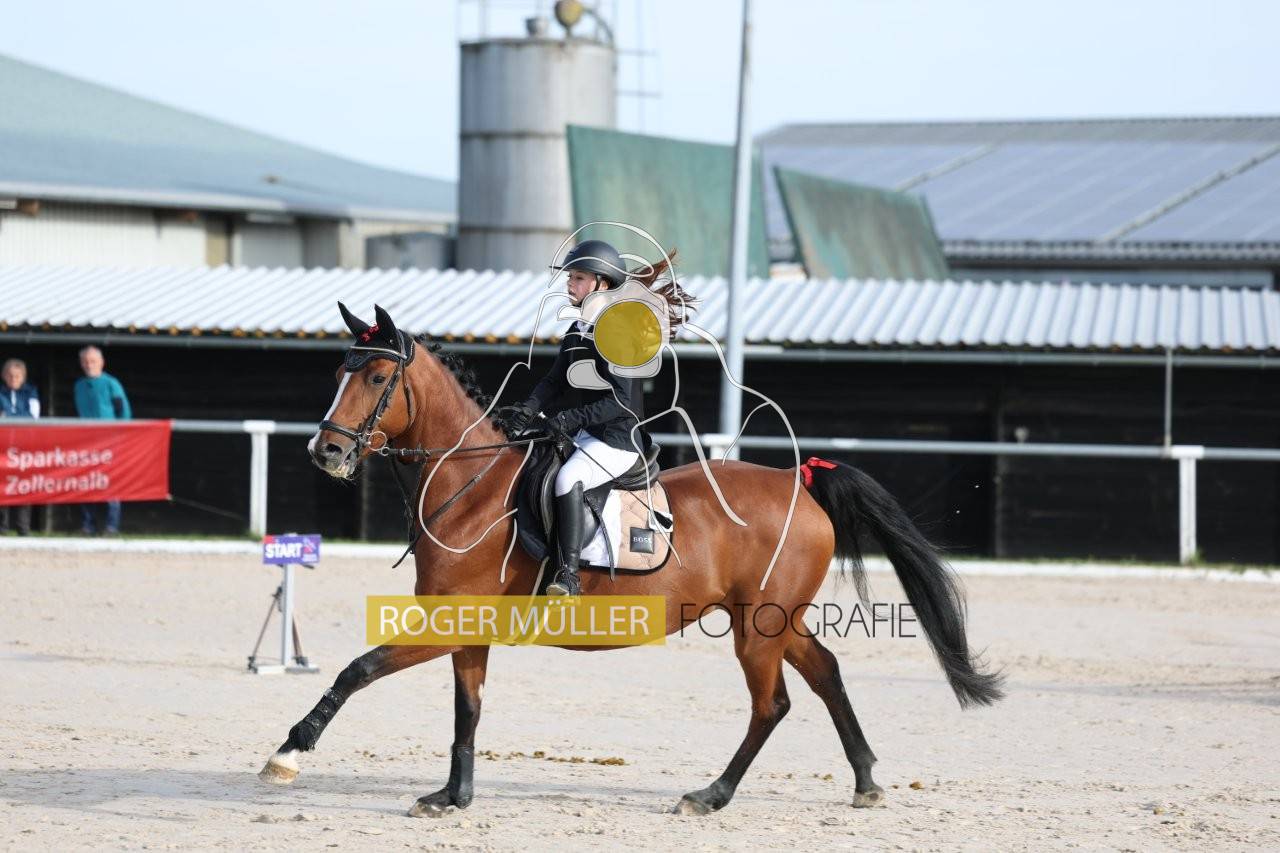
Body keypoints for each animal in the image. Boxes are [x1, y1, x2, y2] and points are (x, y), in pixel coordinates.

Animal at [259, 303, 1004, 817]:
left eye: (378, 375)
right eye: (339, 372)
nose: (326, 452)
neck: (471, 490)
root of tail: (799, 481)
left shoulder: (447, 621)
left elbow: (359, 669)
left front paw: (289, 751)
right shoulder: (467, 629)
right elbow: (466, 709)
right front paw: (453, 796)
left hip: (758, 627)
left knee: (773, 703)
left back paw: (710, 795)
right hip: (772, 619)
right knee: (825, 673)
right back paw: (867, 780)